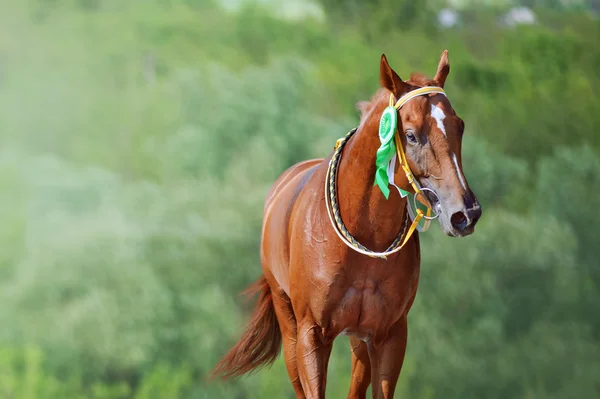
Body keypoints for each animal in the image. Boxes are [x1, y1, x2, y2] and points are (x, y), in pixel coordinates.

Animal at [211, 51, 482, 398]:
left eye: (459, 126)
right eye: (411, 135)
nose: (465, 213)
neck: (364, 238)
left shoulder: (389, 334)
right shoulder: (312, 334)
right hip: (289, 325)